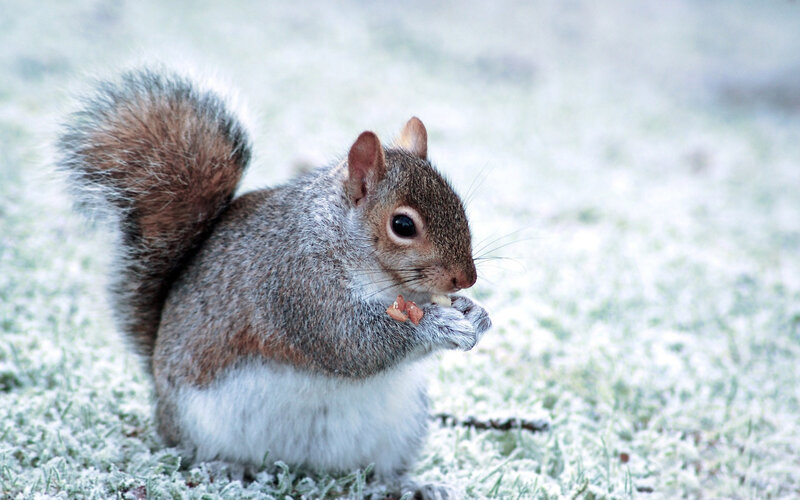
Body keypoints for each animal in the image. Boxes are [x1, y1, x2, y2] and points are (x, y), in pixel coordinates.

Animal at [58, 69, 491, 497]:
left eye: (459, 206)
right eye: (402, 225)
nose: (466, 278)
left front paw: (475, 313)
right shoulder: (297, 286)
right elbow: (352, 343)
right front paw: (439, 325)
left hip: (401, 426)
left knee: (376, 471)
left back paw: (408, 485)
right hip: (200, 422)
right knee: (193, 452)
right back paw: (225, 467)